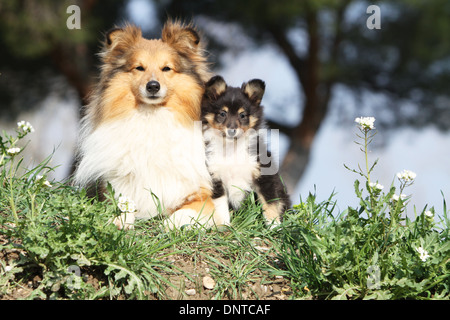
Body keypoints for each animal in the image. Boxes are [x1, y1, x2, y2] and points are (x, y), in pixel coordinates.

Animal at [201, 75, 292, 226]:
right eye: (222, 113)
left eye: (242, 115)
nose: (232, 131)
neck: (232, 147)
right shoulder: (214, 176)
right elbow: (220, 205)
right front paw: (224, 225)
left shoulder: (264, 175)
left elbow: (270, 202)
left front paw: (274, 225)